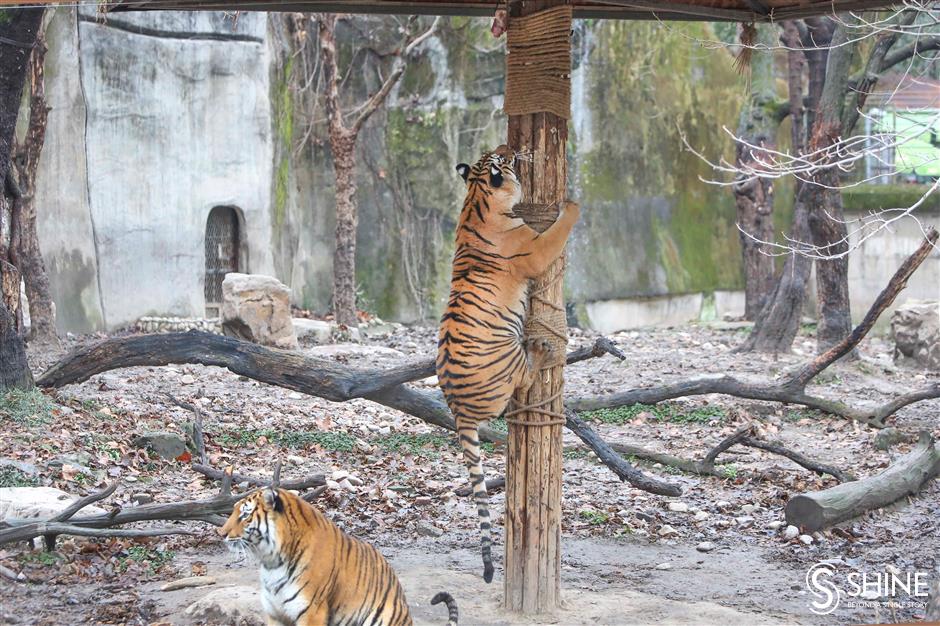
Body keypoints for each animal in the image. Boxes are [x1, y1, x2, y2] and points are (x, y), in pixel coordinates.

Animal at [436, 145, 580, 580]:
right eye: (504, 159)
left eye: (494, 154)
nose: (509, 148)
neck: (475, 199)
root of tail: (458, 410)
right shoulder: (535, 250)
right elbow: (558, 231)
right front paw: (571, 204)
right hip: (510, 354)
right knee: (526, 378)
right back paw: (544, 350)